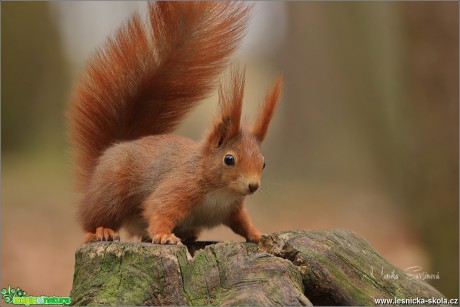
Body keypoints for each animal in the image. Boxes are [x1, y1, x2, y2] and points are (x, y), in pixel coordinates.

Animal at [68, 0, 282, 245]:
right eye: (229, 159)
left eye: (263, 163)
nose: (253, 186)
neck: (221, 192)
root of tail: (112, 149)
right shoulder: (180, 186)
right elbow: (159, 207)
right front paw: (163, 235)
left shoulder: (233, 208)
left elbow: (243, 223)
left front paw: (259, 234)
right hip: (110, 192)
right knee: (93, 219)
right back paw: (101, 231)